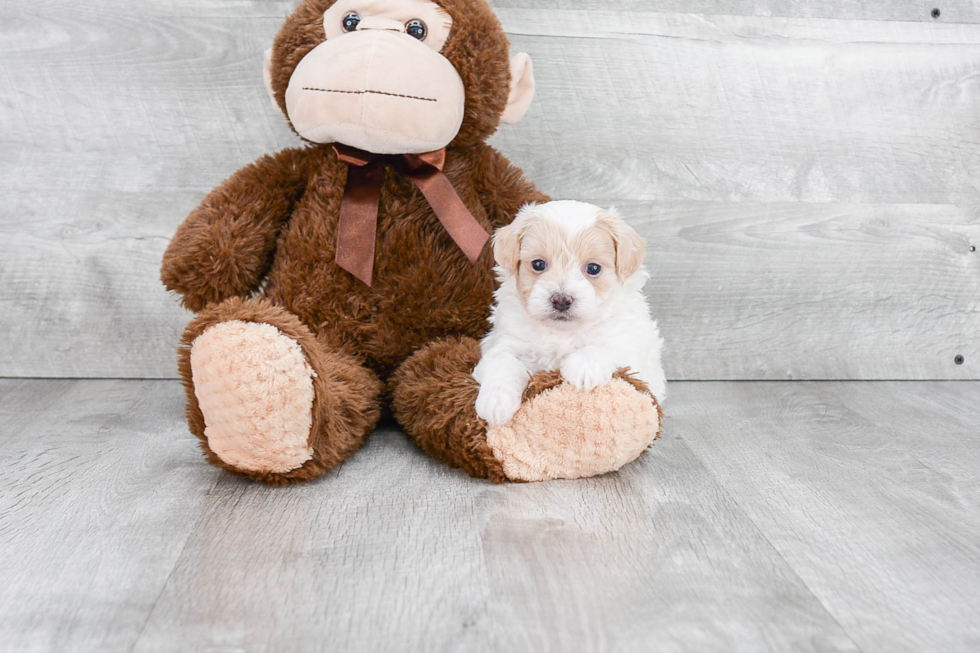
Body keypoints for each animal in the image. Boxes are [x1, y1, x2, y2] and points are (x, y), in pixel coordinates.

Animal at [472, 199, 668, 428]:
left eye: (593, 268)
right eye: (538, 264)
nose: (561, 300)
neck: (562, 332)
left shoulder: (627, 341)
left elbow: (607, 346)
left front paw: (584, 366)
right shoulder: (504, 342)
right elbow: (503, 363)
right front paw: (496, 401)